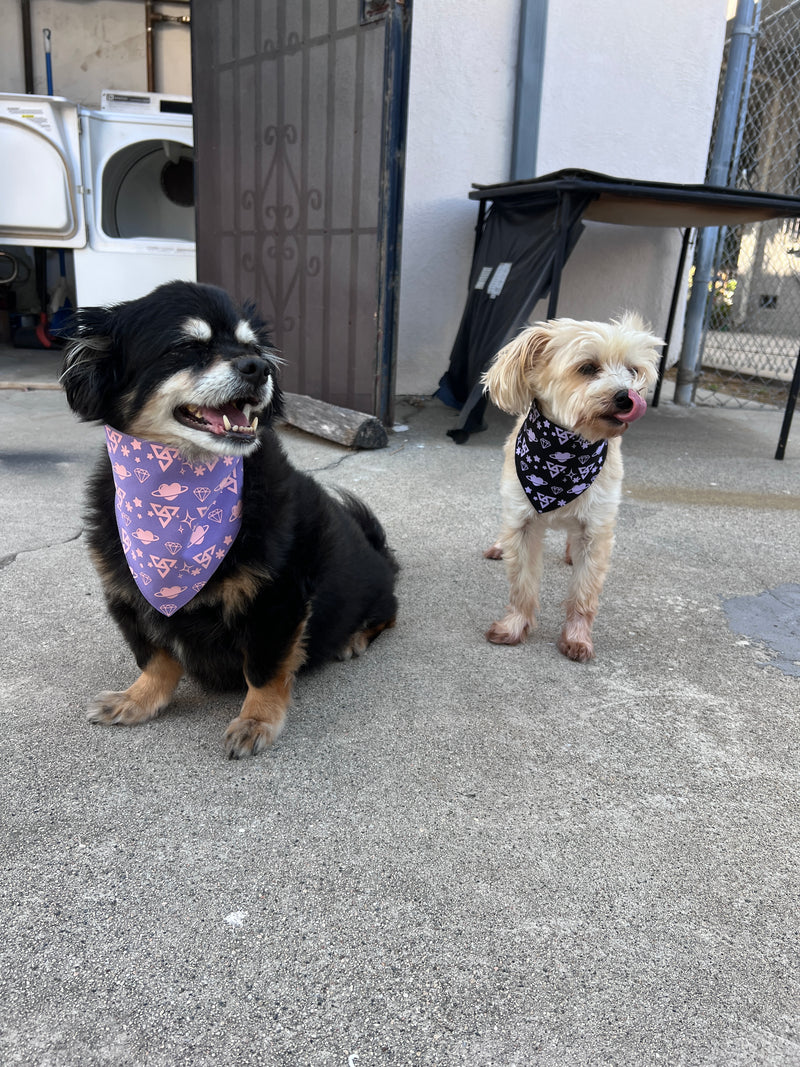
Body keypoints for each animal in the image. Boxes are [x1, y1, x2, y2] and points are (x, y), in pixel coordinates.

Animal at [61, 279, 398, 755]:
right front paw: (138, 699)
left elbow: (263, 669)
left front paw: (257, 720)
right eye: (186, 347)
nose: (259, 368)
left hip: (373, 593)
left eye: (252, 347)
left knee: (388, 613)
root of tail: (381, 554)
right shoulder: (126, 595)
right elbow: (156, 658)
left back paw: (353, 638)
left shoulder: (276, 601)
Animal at [482, 311, 665, 657]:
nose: (627, 397)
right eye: (588, 368)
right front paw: (515, 625)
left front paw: (577, 637)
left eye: (633, 371)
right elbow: (521, 582)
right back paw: (499, 545)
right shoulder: (522, 522)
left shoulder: (596, 530)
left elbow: (584, 591)